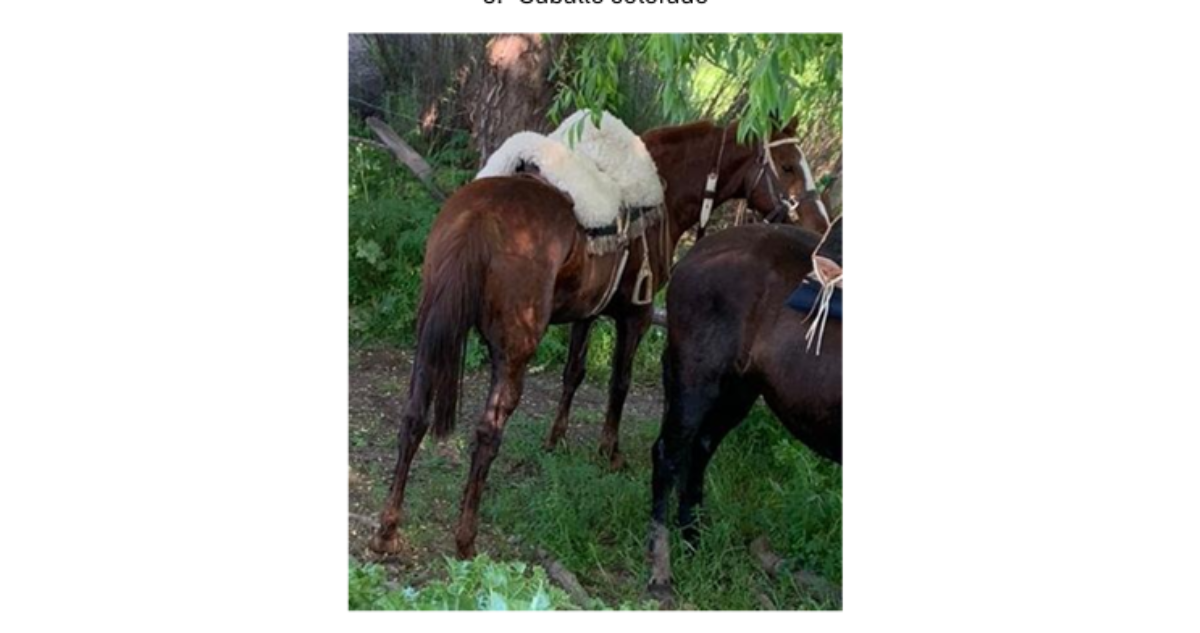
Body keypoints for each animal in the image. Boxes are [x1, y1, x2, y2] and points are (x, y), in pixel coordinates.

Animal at [371, 119, 827, 559]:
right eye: (788, 165)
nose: (820, 227)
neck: (661, 193)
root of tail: (479, 216)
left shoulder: (585, 313)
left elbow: (573, 373)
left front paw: (555, 440)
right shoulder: (635, 315)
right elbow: (618, 384)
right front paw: (610, 452)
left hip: (431, 335)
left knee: (414, 416)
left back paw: (387, 531)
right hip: (515, 351)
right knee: (487, 434)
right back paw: (466, 539)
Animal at [646, 222, 843, 601]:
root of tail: (696, 252)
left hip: (737, 392)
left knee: (699, 452)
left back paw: (694, 541)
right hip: (696, 382)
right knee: (668, 455)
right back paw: (660, 568)